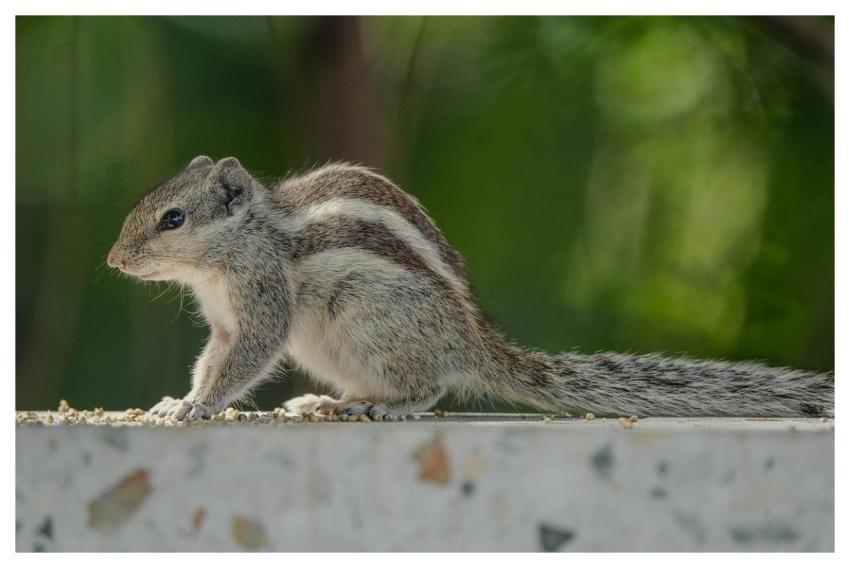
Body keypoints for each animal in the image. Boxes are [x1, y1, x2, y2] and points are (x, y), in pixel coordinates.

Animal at [107, 156, 834, 420]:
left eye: (174, 218)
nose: (114, 260)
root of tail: (473, 344)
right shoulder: (225, 322)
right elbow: (214, 358)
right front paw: (178, 398)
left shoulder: (259, 305)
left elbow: (243, 361)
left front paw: (196, 408)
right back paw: (330, 403)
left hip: (373, 323)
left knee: (429, 389)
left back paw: (385, 408)